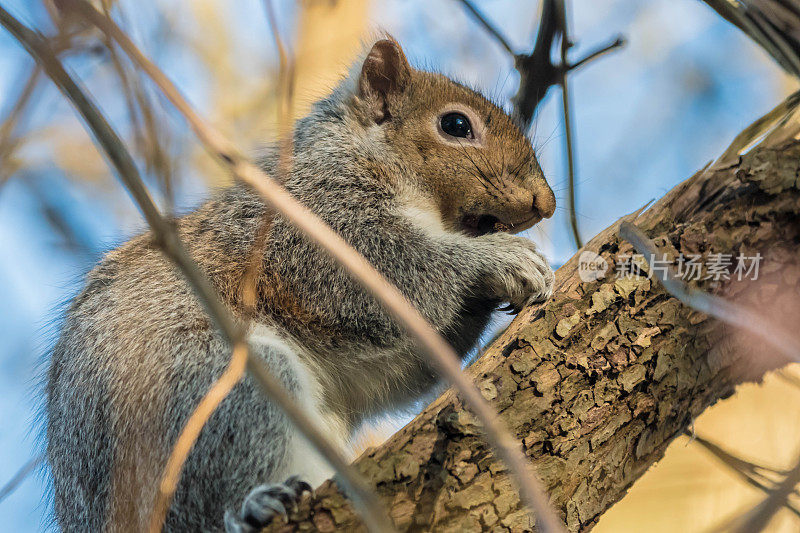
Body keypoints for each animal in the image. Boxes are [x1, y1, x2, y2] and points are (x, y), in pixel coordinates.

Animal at [43, 38, 556, 532]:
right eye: (456, 125)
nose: (545, 203)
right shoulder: (307, 225)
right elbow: (395, 273)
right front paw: (500, 259)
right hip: (208, 393)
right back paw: (252, 505)